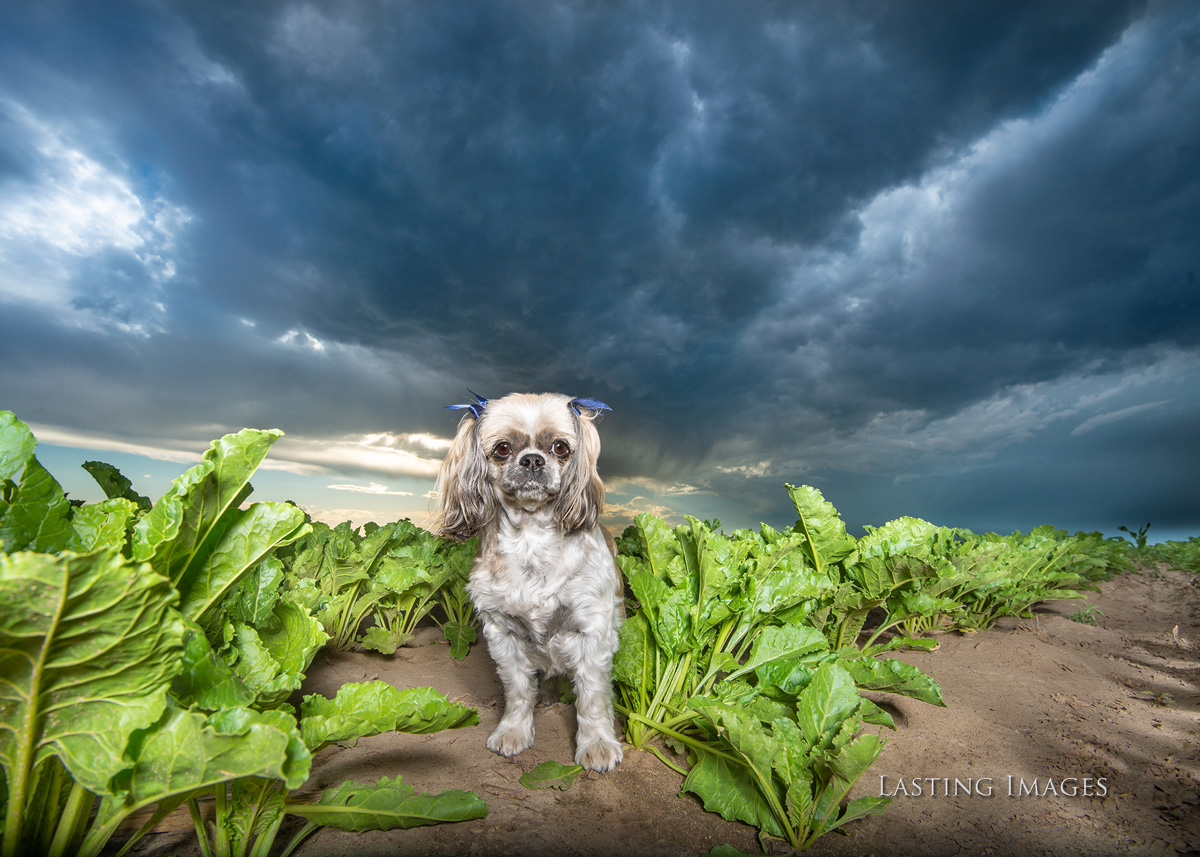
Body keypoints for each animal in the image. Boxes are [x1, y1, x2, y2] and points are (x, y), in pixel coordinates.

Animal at [432, 391, 624, 772]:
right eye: (503, 448)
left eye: (561, 447)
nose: (533, 460)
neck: (533, 542)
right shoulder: (502, 634)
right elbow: (518, 691)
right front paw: (514, 731)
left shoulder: (592, 635)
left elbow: (592, 698)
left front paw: (597, 743)